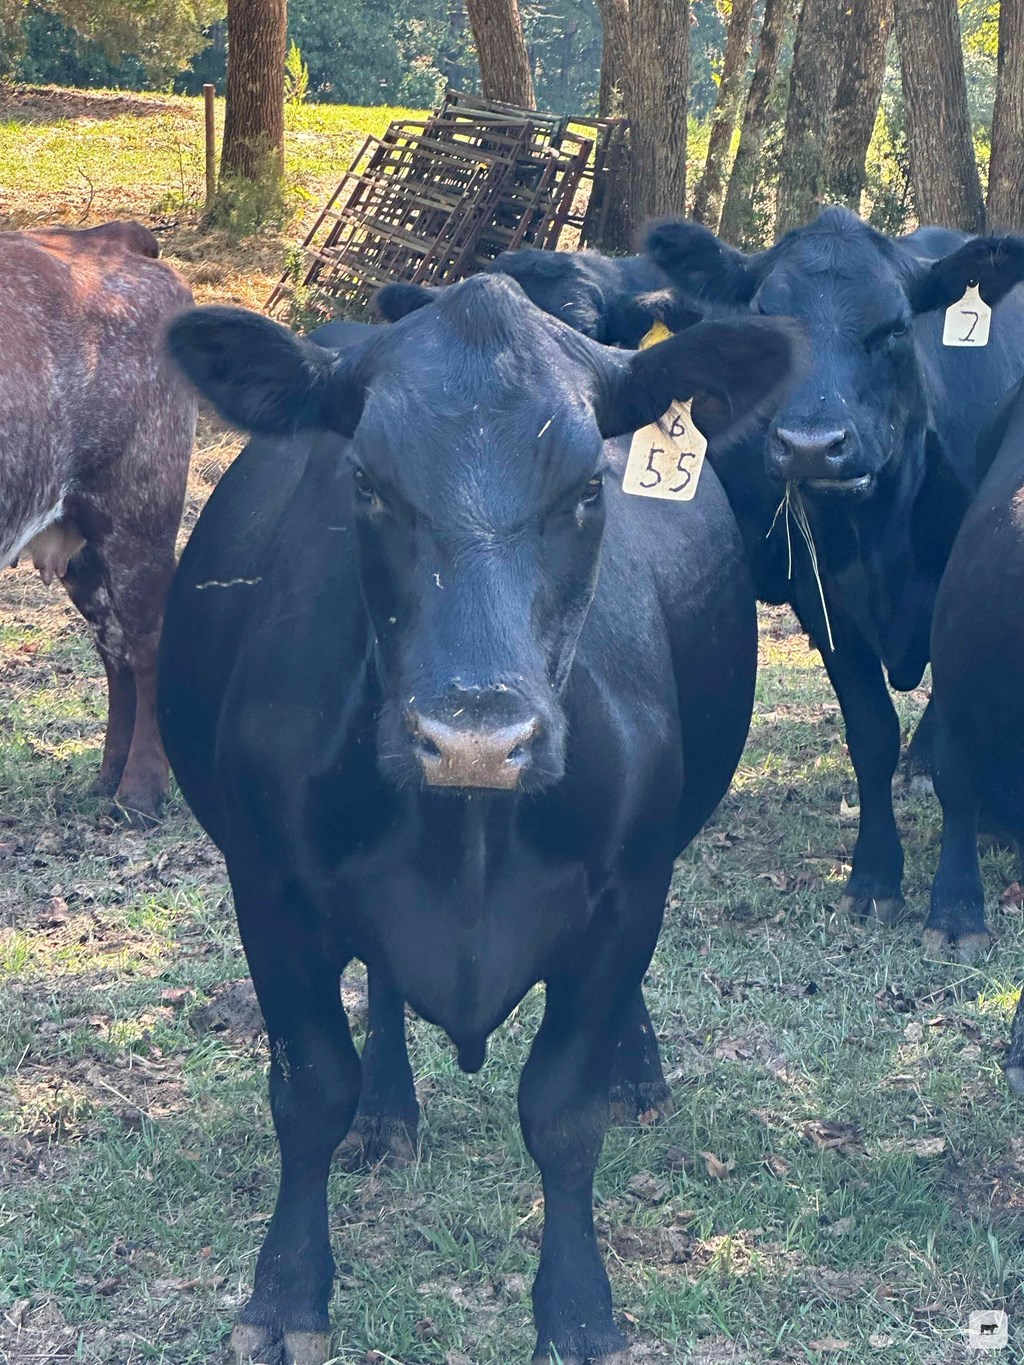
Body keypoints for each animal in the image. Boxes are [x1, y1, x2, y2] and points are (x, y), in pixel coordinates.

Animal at [1, 222, 196, 813]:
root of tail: (109, 237)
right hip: (87, 555)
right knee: (117, 653)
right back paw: (109, 777)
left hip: (136, 525)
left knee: (148, 646)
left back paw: (140, 791)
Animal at [162, 279, 802, 1365]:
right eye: (366, 481)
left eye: (587, 488)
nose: (474, 738)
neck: (464, 850)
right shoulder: (270, 890)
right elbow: (310, 1090)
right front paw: (285, 1294)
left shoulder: (627, 897)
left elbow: (563, 1113)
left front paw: (579, 1311)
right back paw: (386, 1113)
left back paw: (637, 1072)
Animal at [649, 210, 1024, 950]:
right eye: (764, 324)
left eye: (897, 327)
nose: (811, 446)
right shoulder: (826, 606)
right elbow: (871, 734)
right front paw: (875, 877)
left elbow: (959, 756)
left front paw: (957, 905)